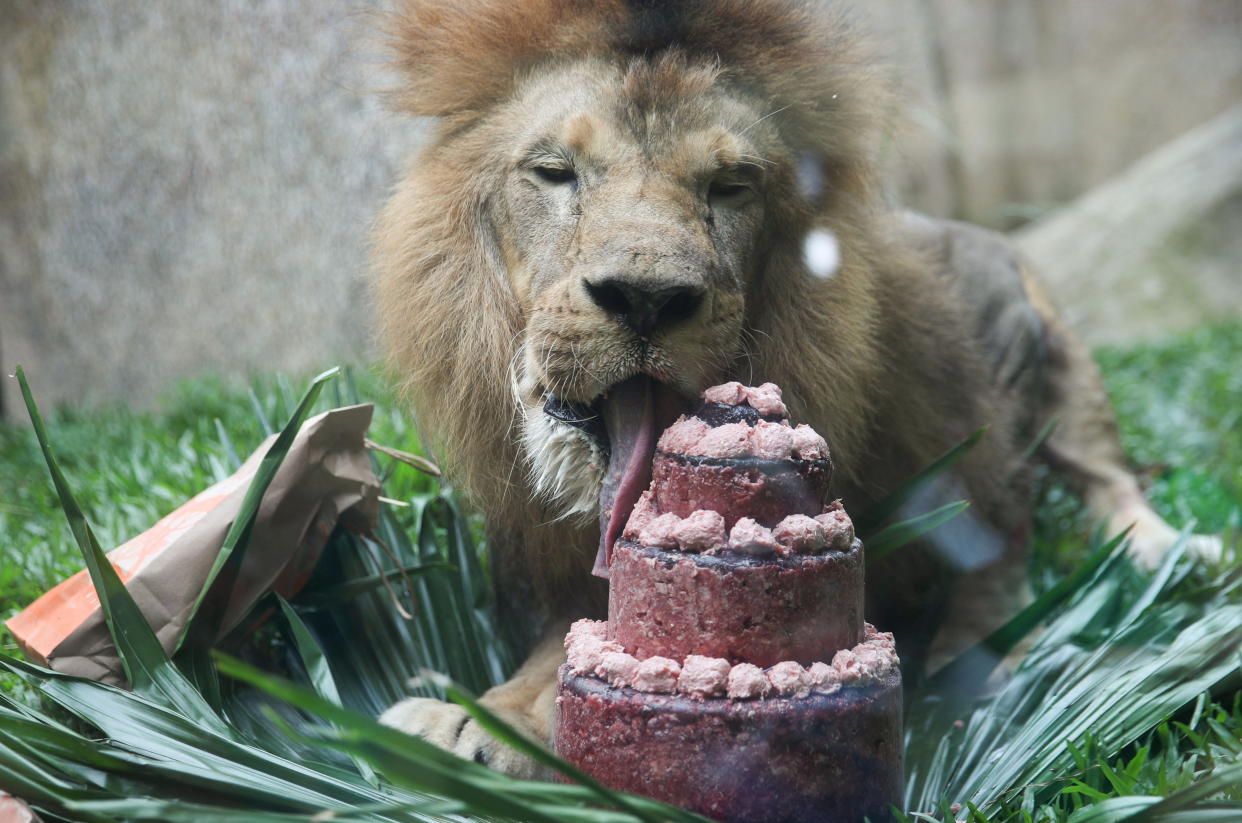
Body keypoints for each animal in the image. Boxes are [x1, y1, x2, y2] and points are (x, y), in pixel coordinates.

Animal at [362, 0, 1217, 779]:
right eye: (553, 173)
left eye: (731, 186)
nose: (645, 299)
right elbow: (564, 645)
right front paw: (474, 715)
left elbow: (993, 556)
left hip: (1051, 353)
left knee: (1080, 494)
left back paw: (1165, 559)